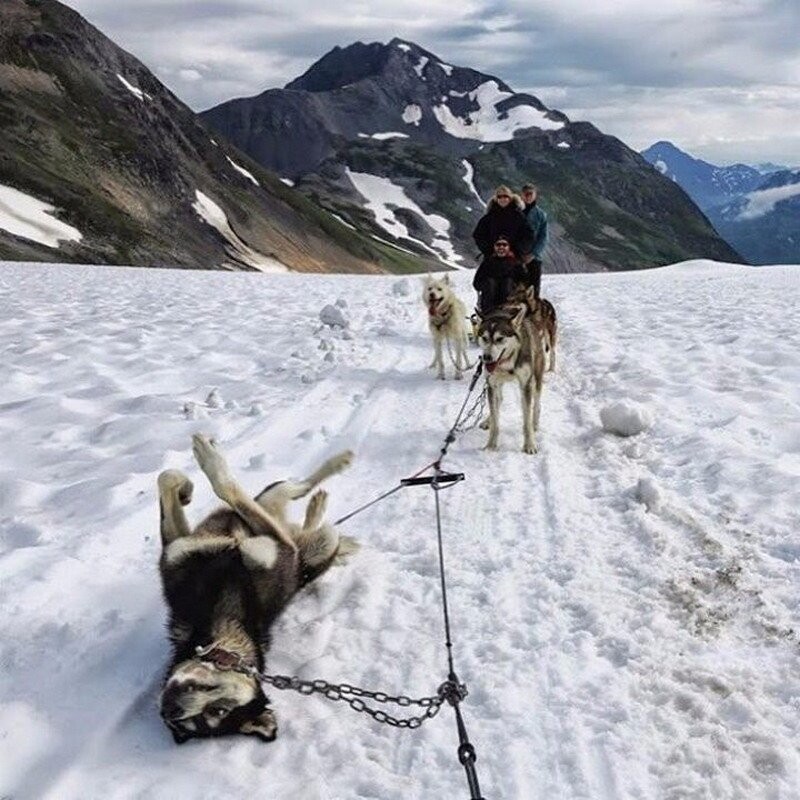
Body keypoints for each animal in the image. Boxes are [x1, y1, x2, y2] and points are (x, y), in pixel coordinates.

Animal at [157, 438, 356, 744]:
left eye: (218, 711)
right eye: (193, 722)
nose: (170, 709)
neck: (220, 617)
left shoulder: (278, 548)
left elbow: (223, 486)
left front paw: (202, 467)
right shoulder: (178, 548)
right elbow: (167, 478)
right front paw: (185, 488)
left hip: (311, 534)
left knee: (296, 490)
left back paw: (333, 474)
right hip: (289, 520)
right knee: (294, 502)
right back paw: (317, 508)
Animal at [476, 290, 556, 454]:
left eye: (500, 338)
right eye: (484, 337)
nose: (487, 358)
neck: (507, 362)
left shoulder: (526, 385)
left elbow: (526, 420)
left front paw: (530, 444)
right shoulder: (492, 385)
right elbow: (496, 420)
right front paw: (491, 445)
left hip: (536, 378)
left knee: (536, 403)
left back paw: (535, 422)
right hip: (497, 385)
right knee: (498, 401)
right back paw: (488, 420)